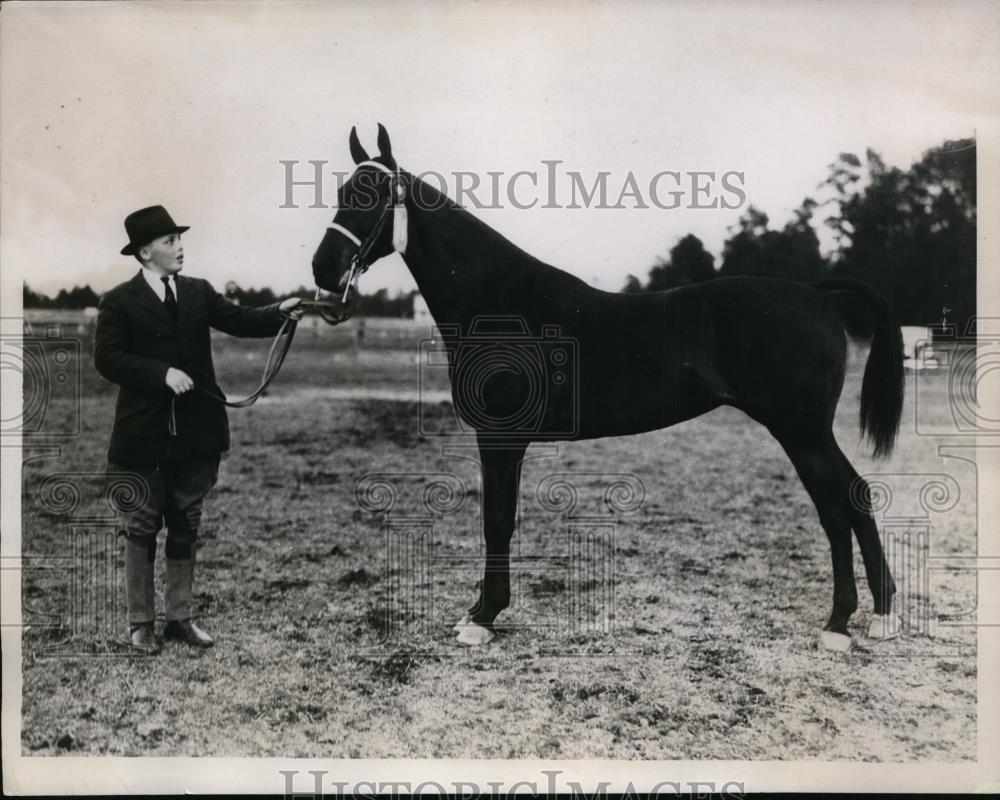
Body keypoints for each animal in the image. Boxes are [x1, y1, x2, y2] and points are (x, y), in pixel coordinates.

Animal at [312, 123, 908, 648]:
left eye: (371, 196)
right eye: (342, 192)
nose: (324, 268)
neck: (499, 301)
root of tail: (816, 294)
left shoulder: (501, 438)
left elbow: (497, 522)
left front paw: (482, 619)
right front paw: (482, 611)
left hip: (801, 431)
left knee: (840, 505)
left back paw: (843, 623)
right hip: (805, 432)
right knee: (851, 500)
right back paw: (876, 616)